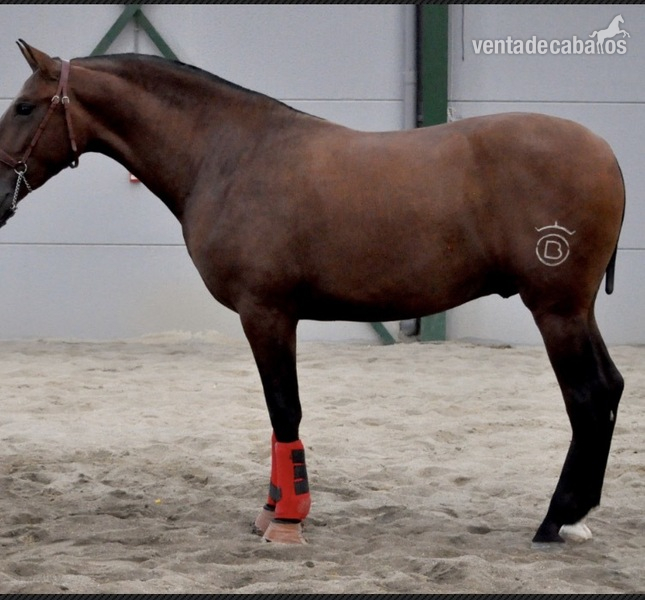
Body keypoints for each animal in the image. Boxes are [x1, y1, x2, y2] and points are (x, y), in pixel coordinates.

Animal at [0, 41, 625, 545]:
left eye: (25, 106)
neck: (229, 154)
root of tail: (606, 153)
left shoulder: (267, 313)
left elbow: (285, 410)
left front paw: (287, 520)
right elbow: (279, 415)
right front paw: (272, 509)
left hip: (556, 309)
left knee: (588, 396)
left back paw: (556, 519)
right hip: (577, 310)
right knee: (611, 389)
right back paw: (575, 518)